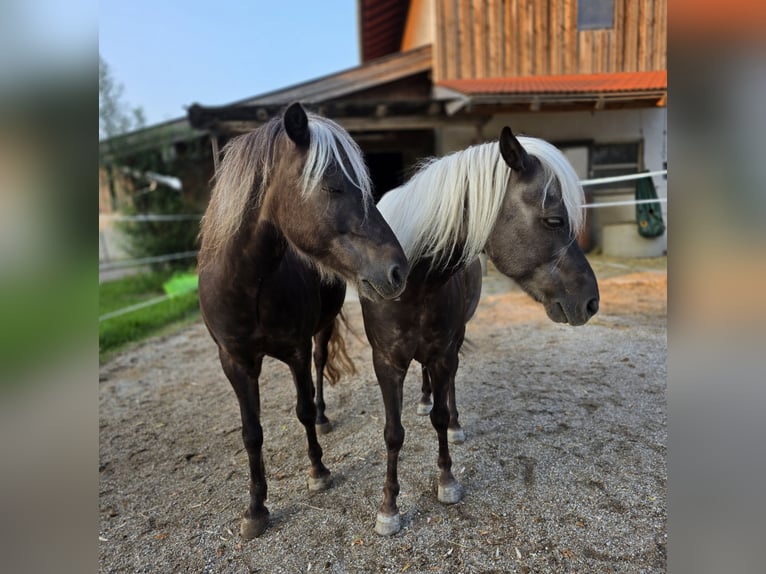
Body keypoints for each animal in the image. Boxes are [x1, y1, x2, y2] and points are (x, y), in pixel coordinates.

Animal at [197, 103, 408, 540]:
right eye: (332, 185)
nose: (398, 270)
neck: (246, 284)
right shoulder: (234, 361)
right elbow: (252, 432)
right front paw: (255, 508)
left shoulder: (295, 349)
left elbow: (304, 409)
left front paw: (318, 470)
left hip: (321, 331)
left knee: (320, 368)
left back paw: (326, 418)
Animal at [358, 126, 600, 535]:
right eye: (554, 220)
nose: (591, 302)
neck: (412, 283)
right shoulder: (386, 362)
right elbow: (393, 434)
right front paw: (388, 508)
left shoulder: (443, 352)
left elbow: (440, 416)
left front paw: (447, 480)